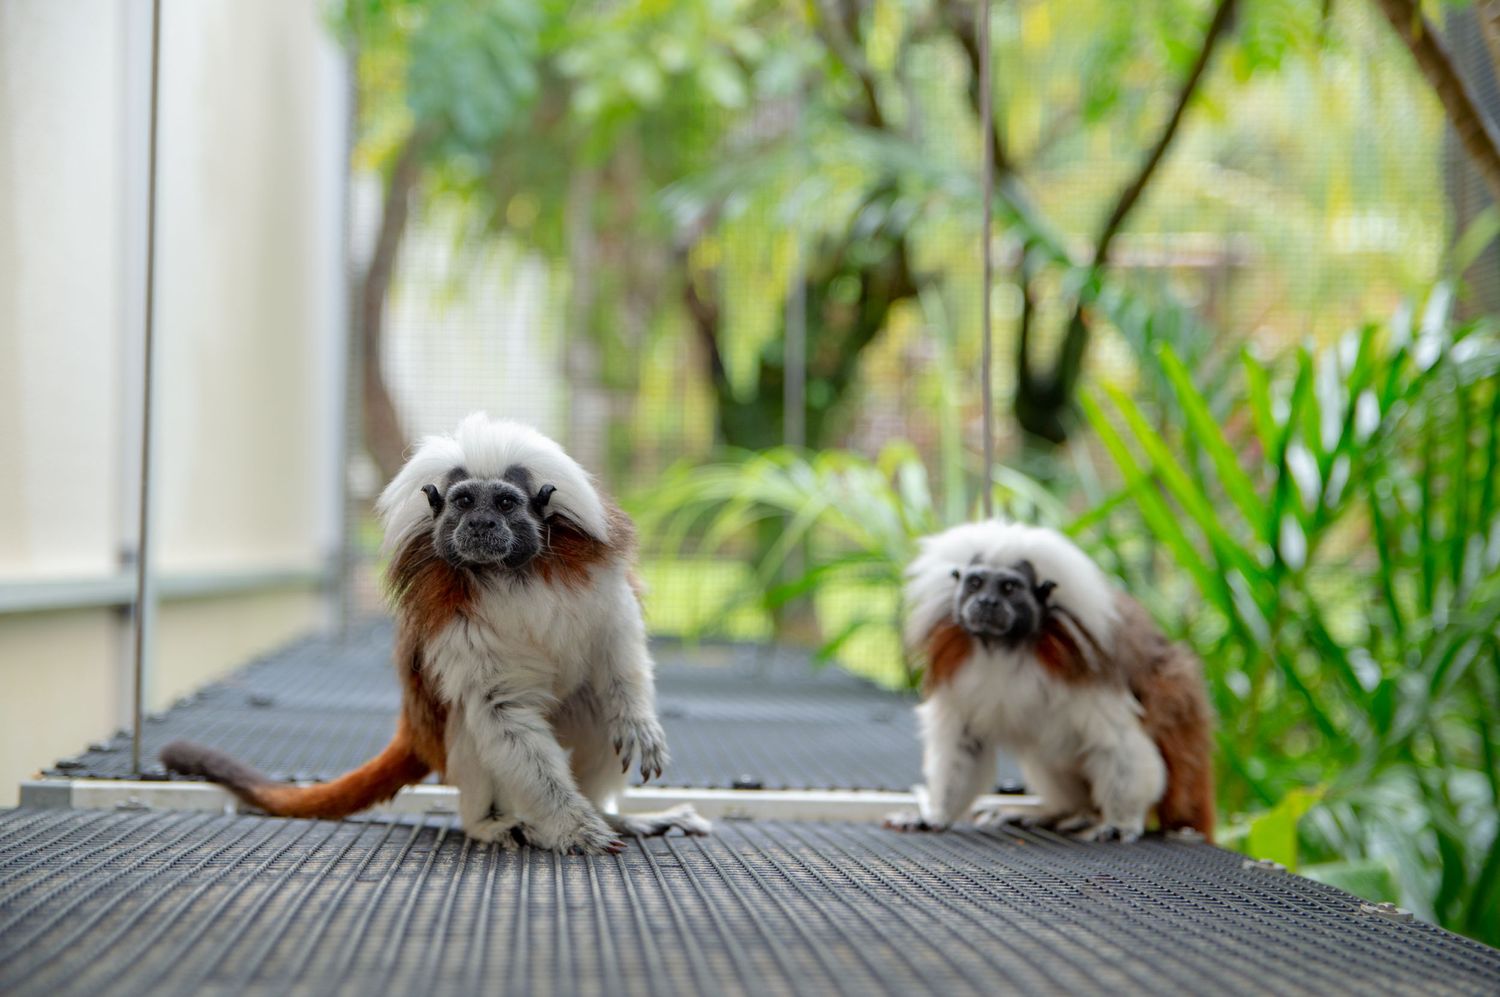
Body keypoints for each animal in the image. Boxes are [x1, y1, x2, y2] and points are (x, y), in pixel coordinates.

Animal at [163, 413, 709, 853]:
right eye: (463, 501)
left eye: (505, 503)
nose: (482, 523)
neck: (509, 575)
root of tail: (415, 731)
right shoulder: (452, 620)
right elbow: (500, 713)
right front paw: (573, 826)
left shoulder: (592, 576)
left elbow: (618, 641)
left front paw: (637, 723)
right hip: (448, 748)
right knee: (471, 726)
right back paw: (488, 824)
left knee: (595, 706)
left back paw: (613, 812)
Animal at [884, 520, 1214, 843]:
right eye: (975, 583)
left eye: (1009, 587)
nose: (987, 602)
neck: (1005, 648)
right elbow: (964, 743)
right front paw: (936, 815)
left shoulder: (1083, 665)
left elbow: (1117, 743)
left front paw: (1120, 822)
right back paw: (1057, 813)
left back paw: (1087, 815)